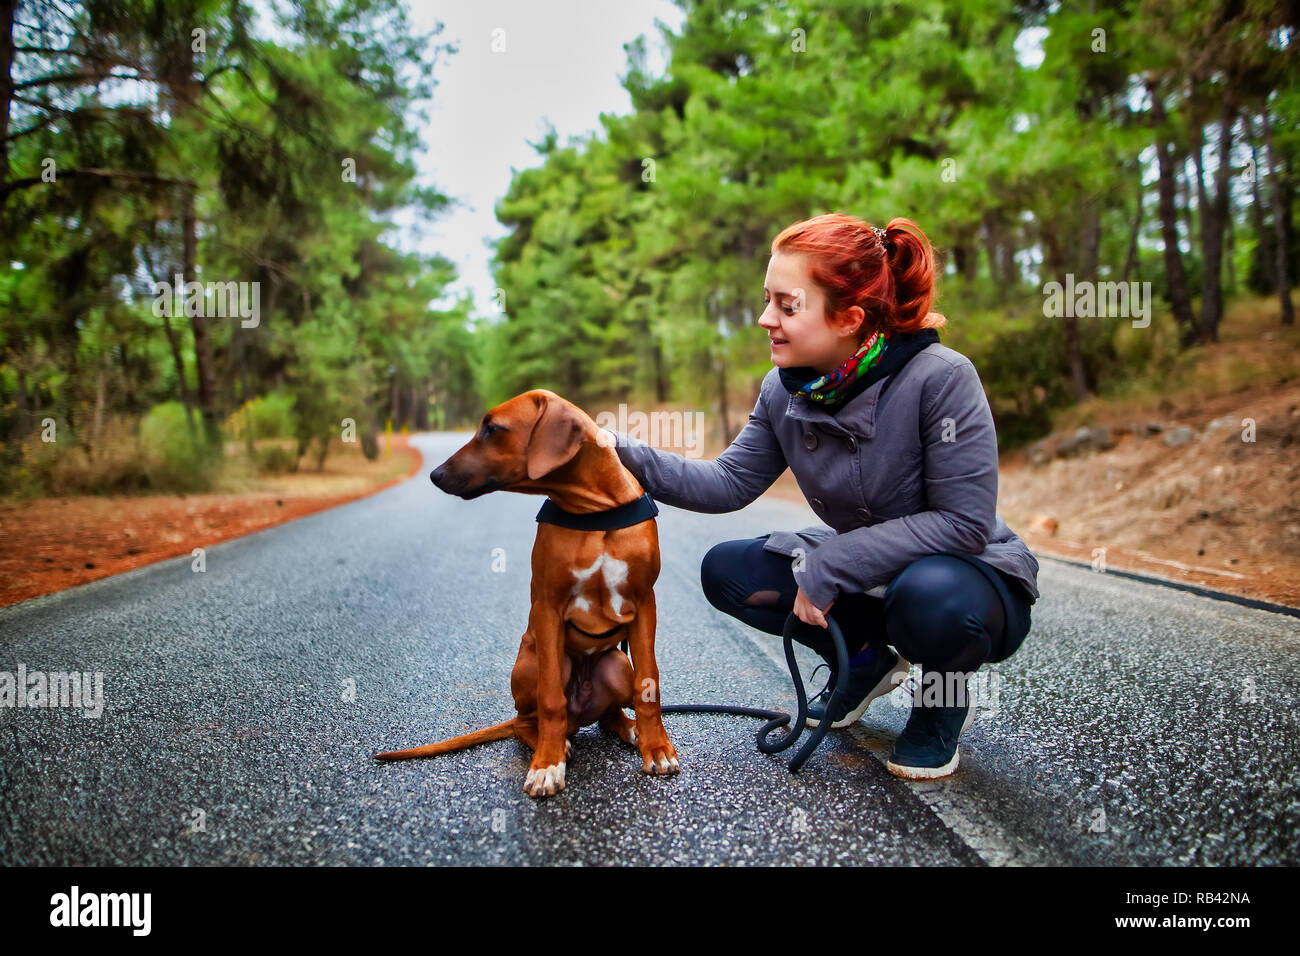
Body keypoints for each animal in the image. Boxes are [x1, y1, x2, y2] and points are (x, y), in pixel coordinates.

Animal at [374, 385, 681, 796]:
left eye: (491, 428)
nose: (436, 475)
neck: (592, 510)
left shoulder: (645, 603)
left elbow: (649, 685)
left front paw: (657, 747)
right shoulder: (547, 607)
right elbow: (551, 700)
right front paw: (546, 765)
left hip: (617, 663)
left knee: (610, 713)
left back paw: (629, 729)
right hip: (534, 663)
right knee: (526, 720)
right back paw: (554, 744)